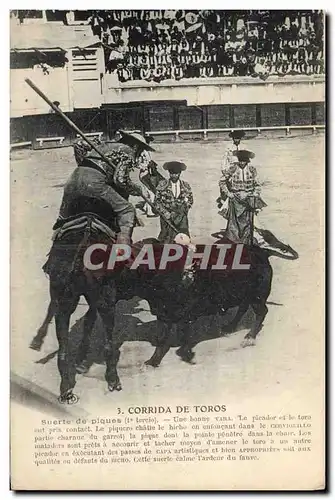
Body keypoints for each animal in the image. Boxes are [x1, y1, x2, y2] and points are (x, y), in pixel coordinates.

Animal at [30, 221, 300, 404]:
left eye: (123, 271)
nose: (101, 293)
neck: (160, 269)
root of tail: (261, 251)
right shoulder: (169, 313)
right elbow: (168, 336)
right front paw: (157, 359)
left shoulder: (177, 310)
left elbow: (174, 336)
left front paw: (179, 355)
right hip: (244, 295)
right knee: (243, 308)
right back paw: (230, 328)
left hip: (257, 295)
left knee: (262, 312)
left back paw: (249, 337)